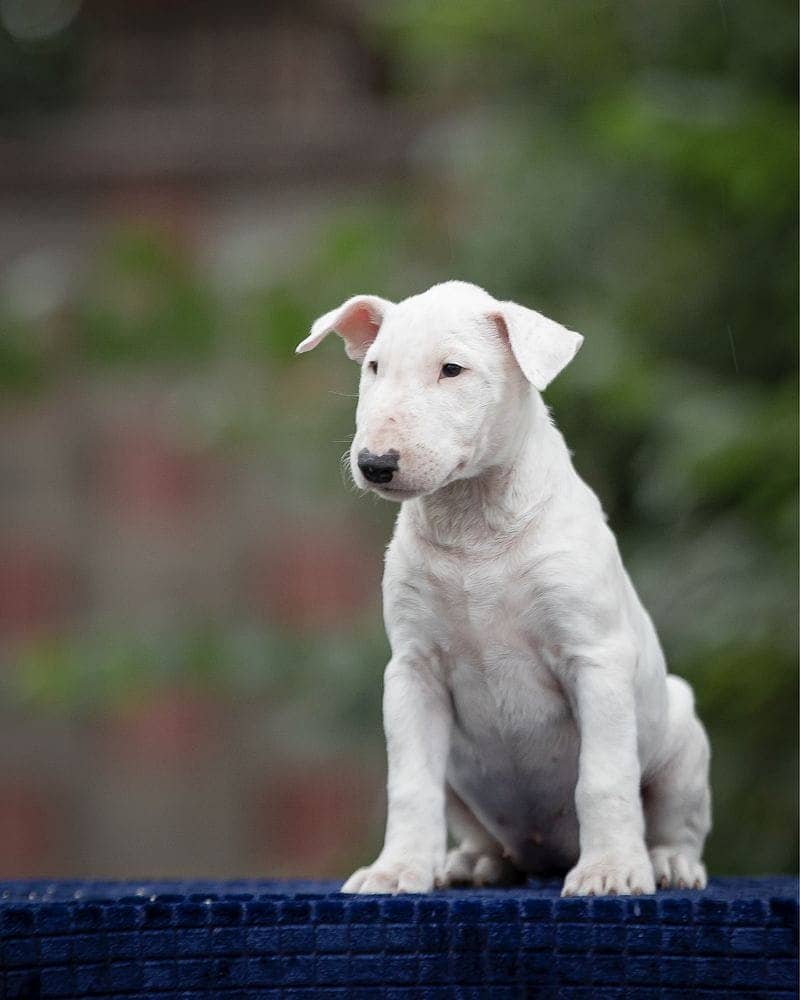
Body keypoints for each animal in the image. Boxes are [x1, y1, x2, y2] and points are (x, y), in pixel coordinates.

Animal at [296, 282, 712, 900]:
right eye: (374, 367)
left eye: (452, 369)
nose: (375, 464)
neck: (475, 528)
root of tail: (545, 854)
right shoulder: (413, 672)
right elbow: (409, 786)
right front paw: (395, 871)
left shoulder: (595, 659)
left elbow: (604, 777)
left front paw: (611, 870)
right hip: (461, 782)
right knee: (479, 832)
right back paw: (473, 863)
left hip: (682, 742)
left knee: (675, 823)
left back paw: (667, 863)